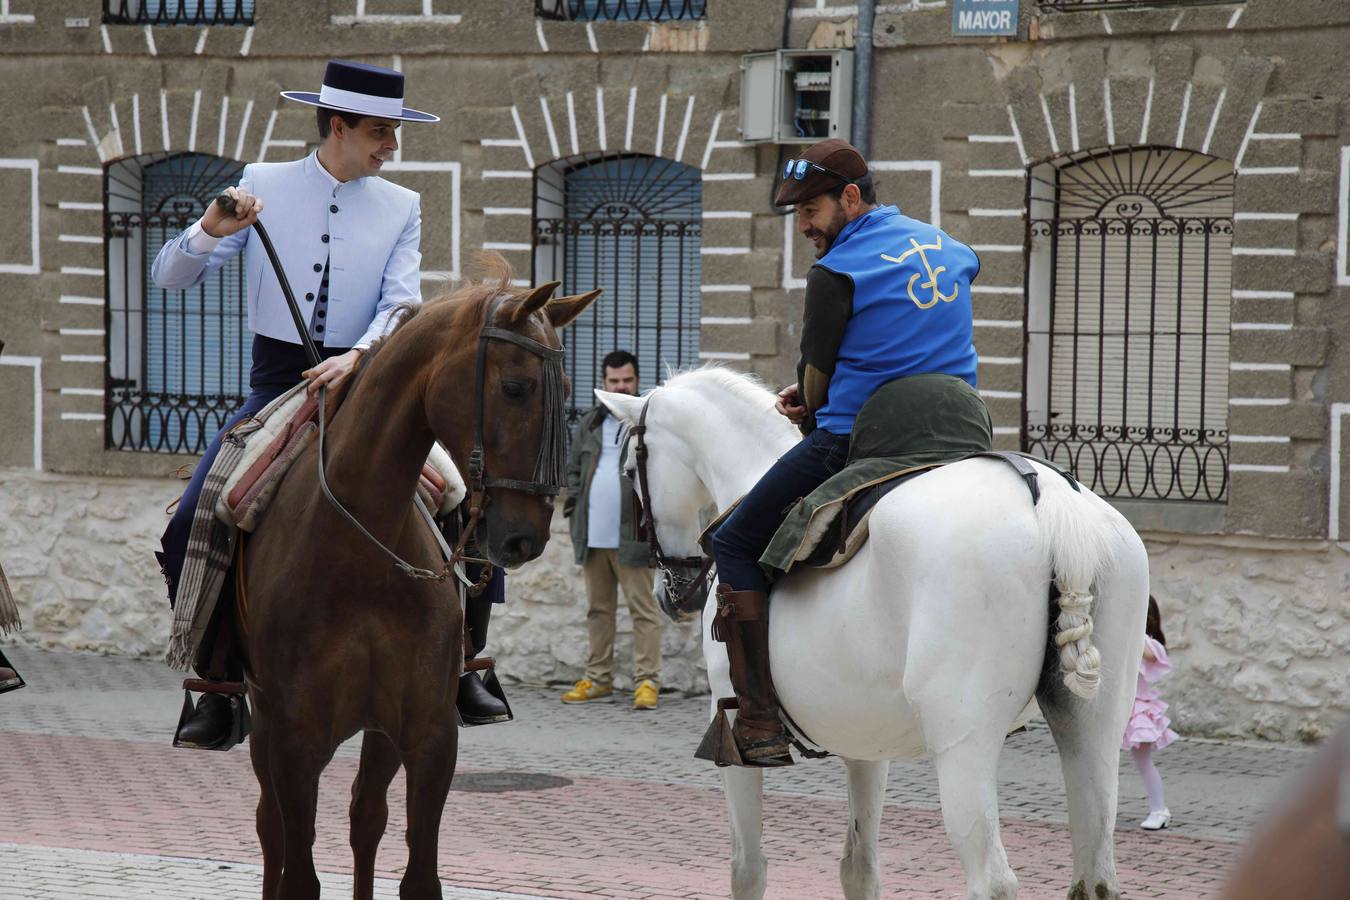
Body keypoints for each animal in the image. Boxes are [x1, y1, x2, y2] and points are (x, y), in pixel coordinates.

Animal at [241, 261, 596, 900]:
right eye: (516, 388)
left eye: (565, 390)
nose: (526, 538)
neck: (360, 550)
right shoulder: (294, 741)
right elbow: (298, 869)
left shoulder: (429, 737)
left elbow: (418, 875)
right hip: (266, 726)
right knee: (272, 827)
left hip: (379, 732)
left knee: (365, 817)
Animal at [602, 369, 1150, 900]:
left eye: (628, 471)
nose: (671, 592)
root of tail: (1045, 496)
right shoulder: (866, 743)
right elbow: (860, 869)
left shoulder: (731, 732)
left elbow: (748, 871)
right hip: (1095, 725)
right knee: (1097, 872)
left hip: (963, 740)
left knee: (991, 880)